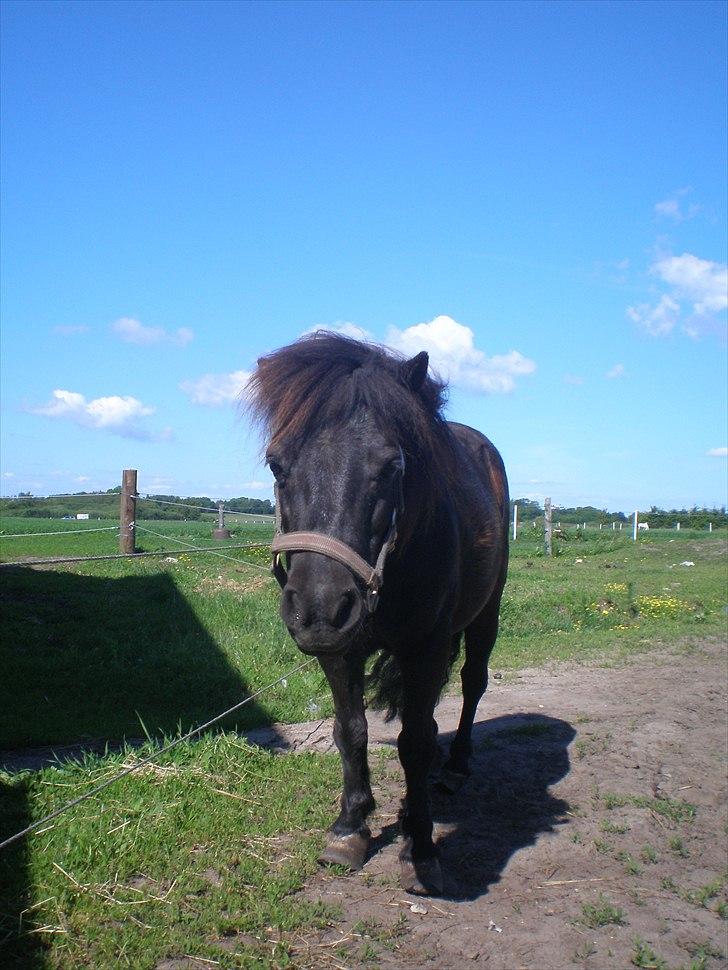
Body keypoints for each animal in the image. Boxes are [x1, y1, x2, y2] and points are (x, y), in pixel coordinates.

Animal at [247, 332, 509, 895]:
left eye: (392, 466)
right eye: (276, 463)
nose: (319, 607)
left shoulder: (427, 647)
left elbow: (415, 742)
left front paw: (422, 848)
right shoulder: (340, 648)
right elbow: (352, 731)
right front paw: (351, 827)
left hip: (486, 614)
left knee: (472, 683)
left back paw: (455, 767)